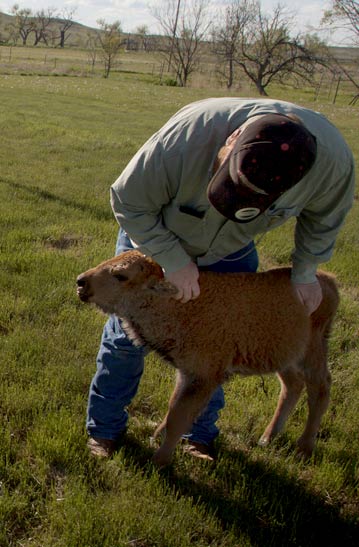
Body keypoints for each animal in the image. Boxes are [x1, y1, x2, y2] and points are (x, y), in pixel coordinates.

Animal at [76, 250, 340, 468]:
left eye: (121, 275)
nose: (81, 282)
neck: (181, 304)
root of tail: (328, 281)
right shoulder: (186, 373)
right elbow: (173, 406)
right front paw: (156, 436)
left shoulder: (204, 377)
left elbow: (179, 417)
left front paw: (159, 461)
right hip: (284, 357)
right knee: (292, 386)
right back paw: (267, 438)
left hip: (311, 353)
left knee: (320, 389)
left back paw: (304, 449)